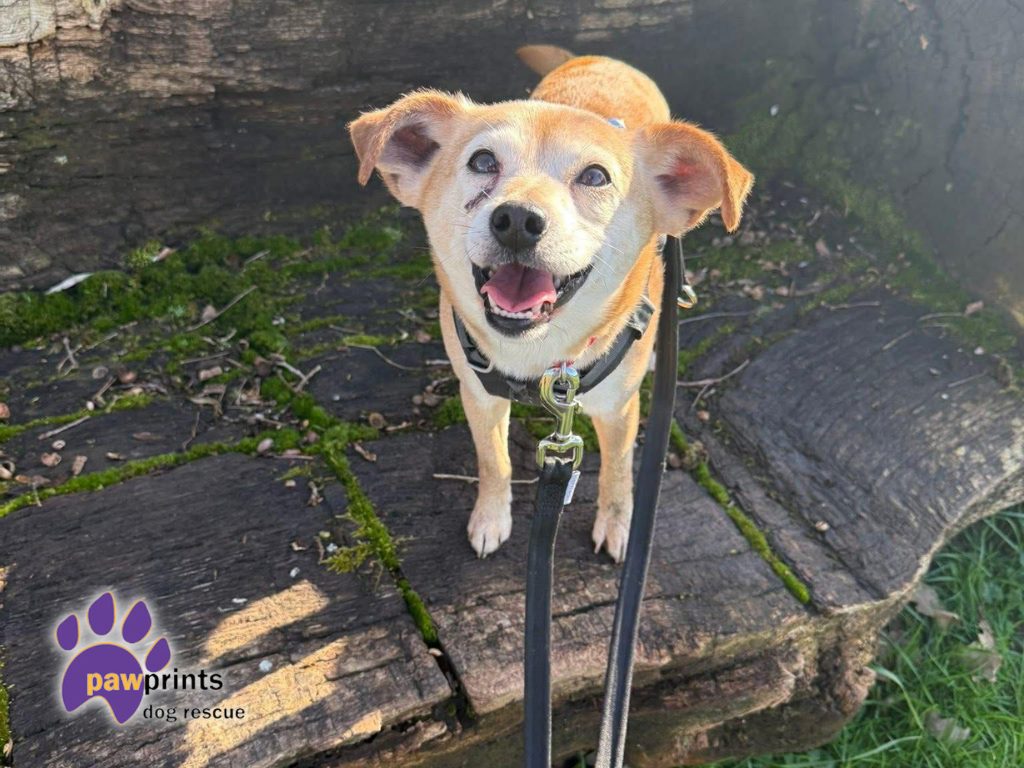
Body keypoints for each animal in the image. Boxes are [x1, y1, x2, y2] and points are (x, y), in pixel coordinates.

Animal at [349, 45, 753, 562]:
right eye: (482, 162)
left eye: (596, 176)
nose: (517, 219)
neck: (537, 357)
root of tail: (598, 56)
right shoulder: (478, 396)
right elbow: (494, 462)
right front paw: (491, 518)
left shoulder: (617, 411)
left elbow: (618, 475)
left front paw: (617, 525)